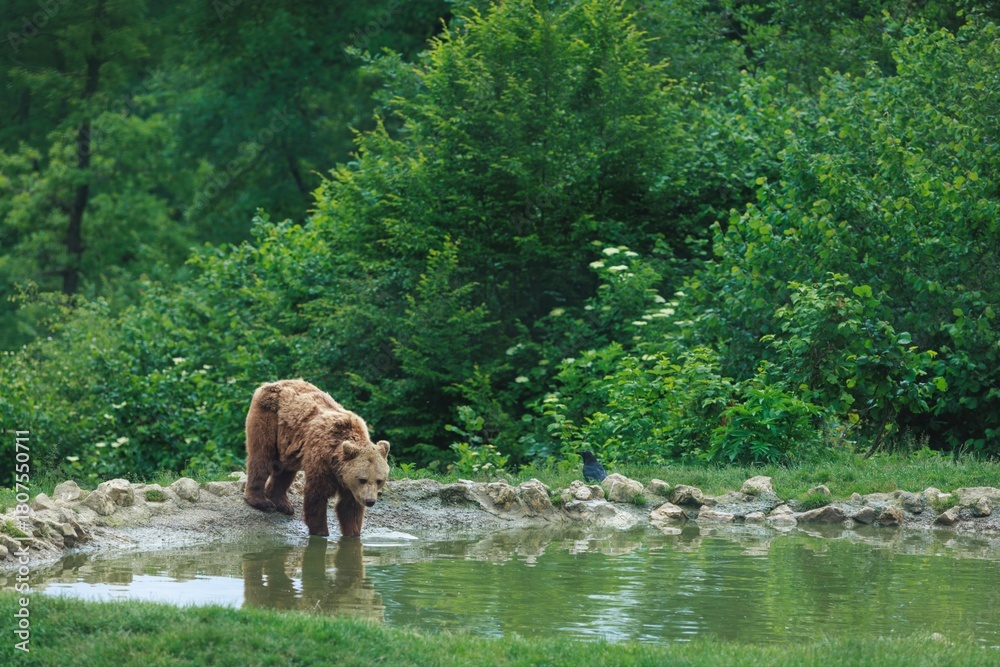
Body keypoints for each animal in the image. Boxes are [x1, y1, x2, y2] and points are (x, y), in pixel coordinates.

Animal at [243, 379, 390, 537]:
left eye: (379, 480)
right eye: (362, 479)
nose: (370, 501)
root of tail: (270, 384)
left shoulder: (351, 486)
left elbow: (350, 508)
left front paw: (353, 534)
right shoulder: (321, 458)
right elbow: (316, 495)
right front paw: (321, 532)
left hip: (289, 442)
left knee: (285, 469)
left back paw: (283, 504)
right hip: (269, 417)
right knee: (262, 456)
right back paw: (262, 502)